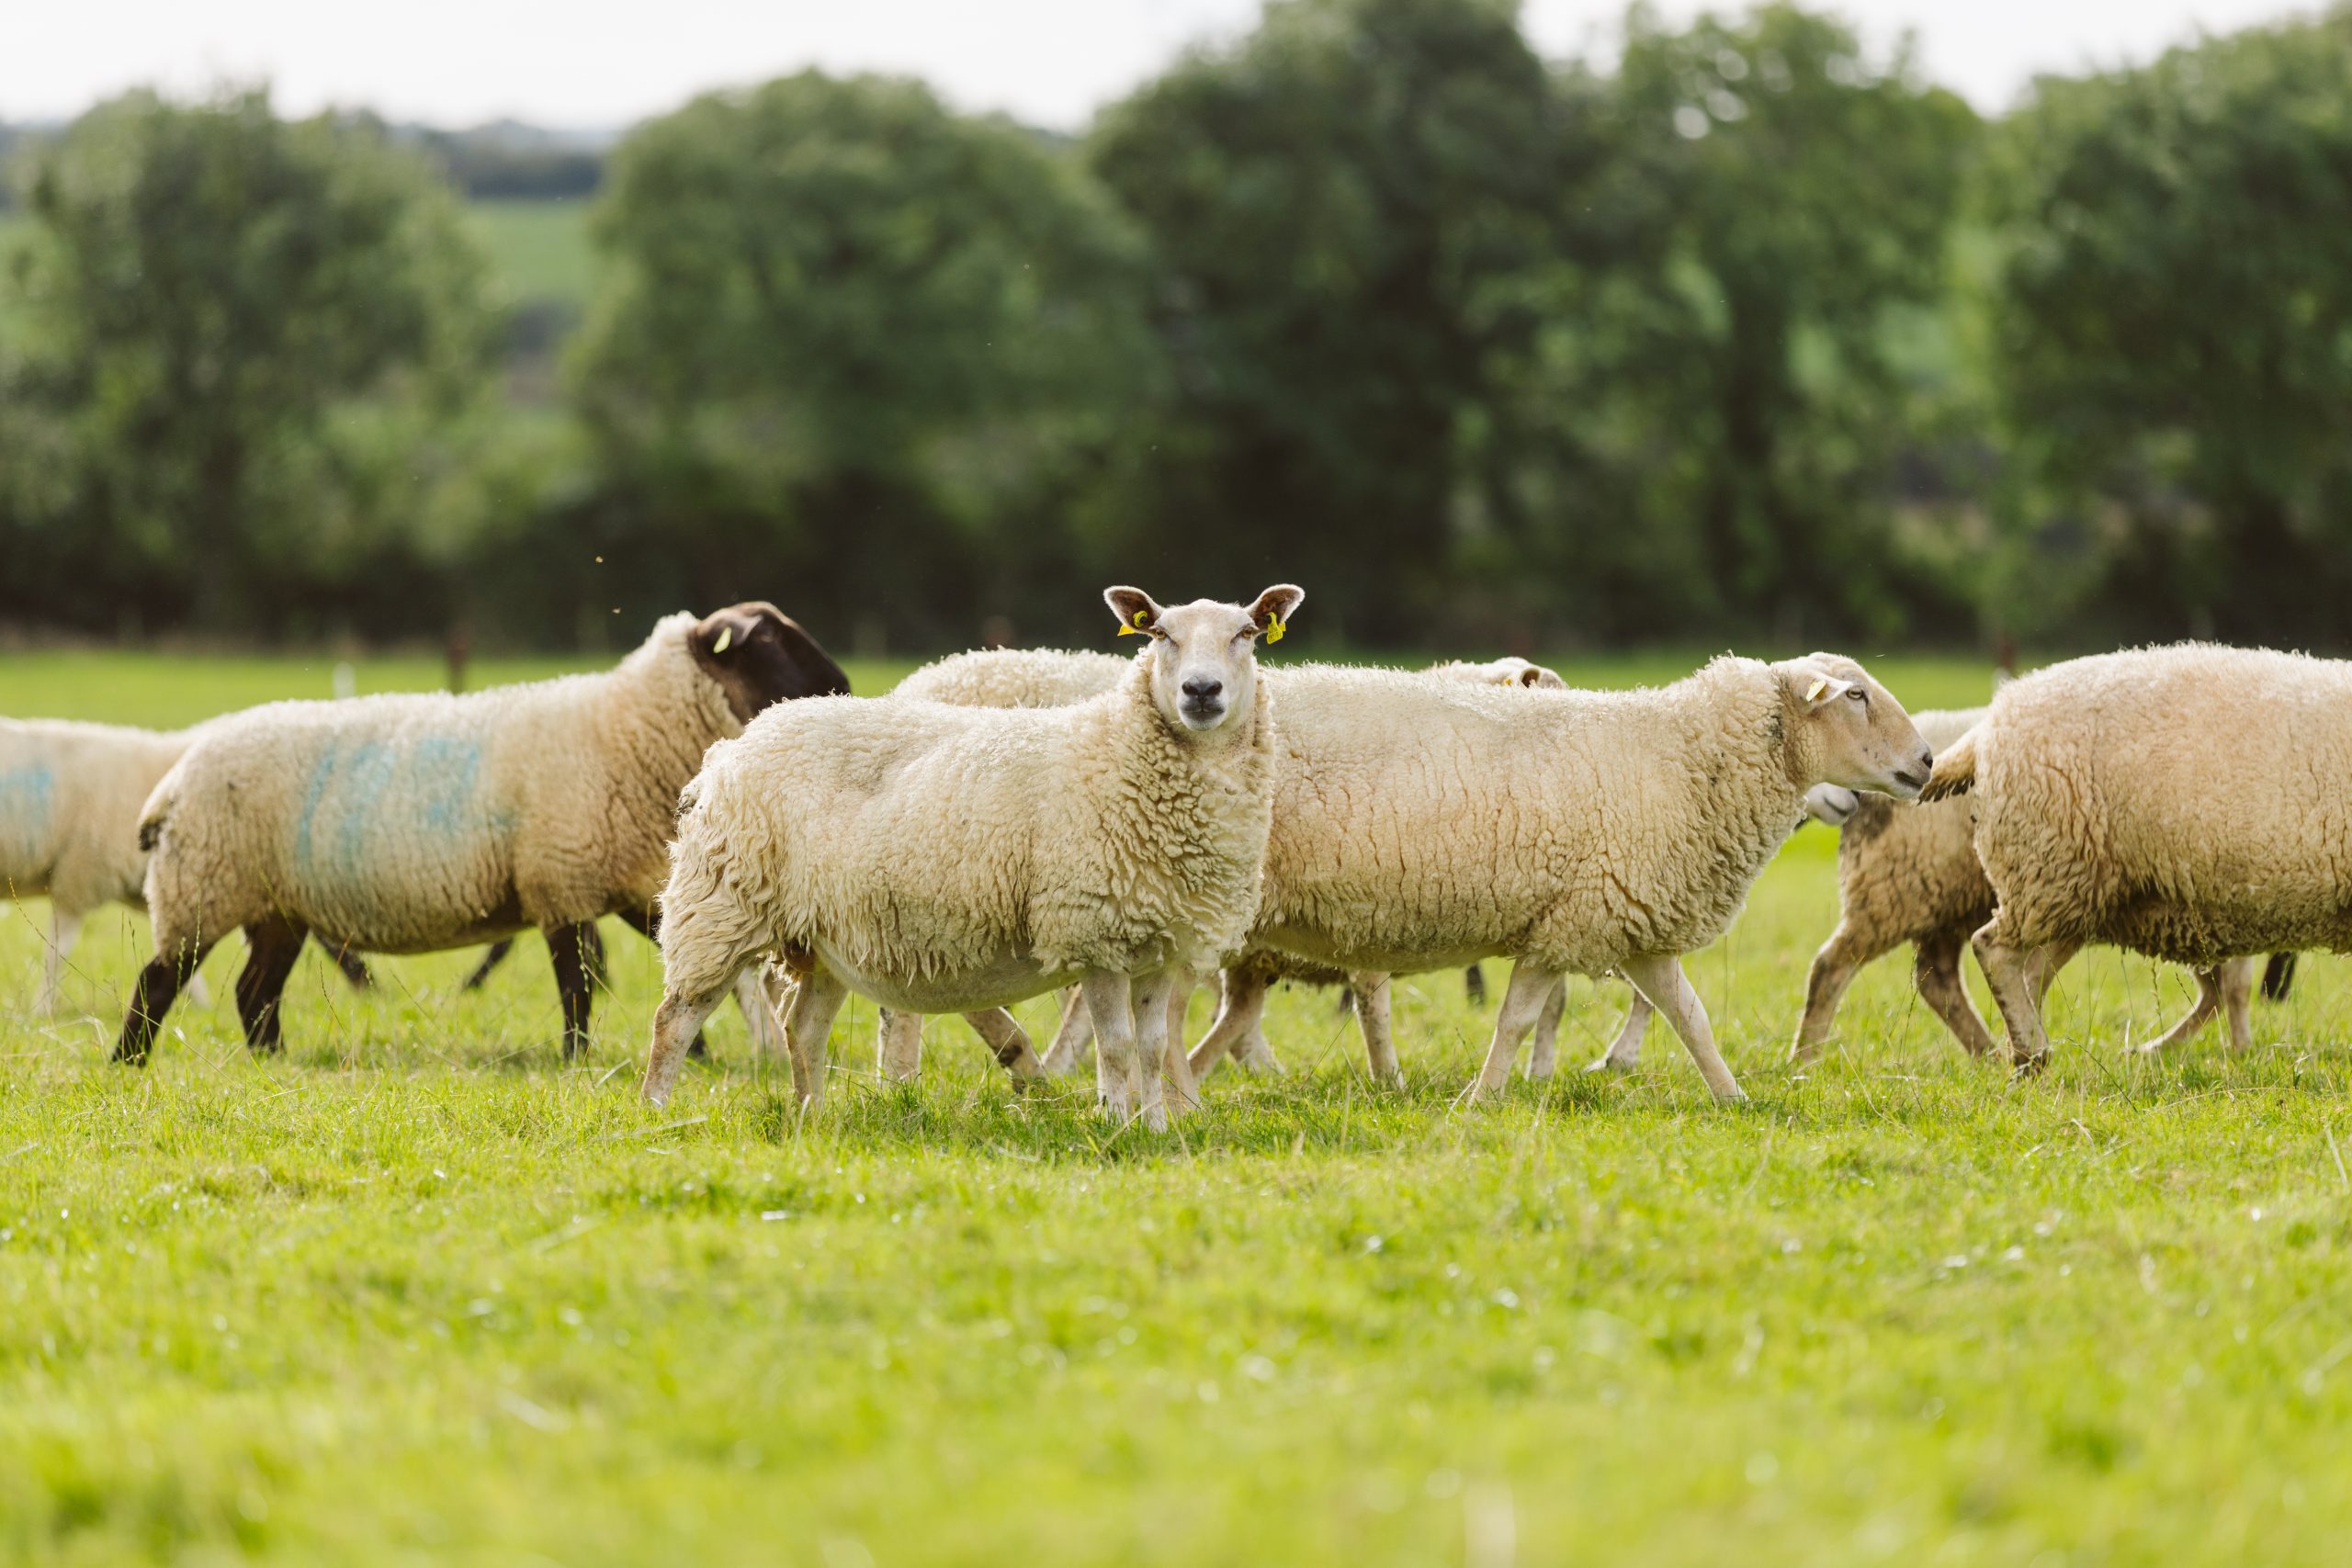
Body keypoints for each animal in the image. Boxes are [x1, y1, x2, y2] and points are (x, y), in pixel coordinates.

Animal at [117, 606, 855, 1066]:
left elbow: (672, 968)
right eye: (769, 642)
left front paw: (690, 1055)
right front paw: (576, 1059)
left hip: (276, 907)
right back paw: (128, 1062)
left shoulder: (624, 882)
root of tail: (172, 782)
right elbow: (577, 984)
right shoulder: (560, 879)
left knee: (254, 991)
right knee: (159, 979)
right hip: (204, 885)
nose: (842, 686)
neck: (625, 731)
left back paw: (273, 1060)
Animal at [644, 582, 1307, 1123]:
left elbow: (1149, 1046)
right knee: (675, 1018)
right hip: (721, 905)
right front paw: (1118, 1126)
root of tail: (737, 743)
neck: (1121, 752)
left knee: (802, 1028)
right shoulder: (1092, 931)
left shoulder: (1160, 940)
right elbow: (1116, 1046)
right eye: (1161, 633)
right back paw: (656, 1111)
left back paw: (815, 1119)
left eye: (1246, 634)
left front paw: (1156, 1129)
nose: (1201, 691)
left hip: (823, 932)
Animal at [1176, 649, 1928, 1104]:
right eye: (1856, 695)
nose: (1924, 760)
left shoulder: (1622, 918)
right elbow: (1517, 1019)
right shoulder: (1569, 921)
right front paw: (1481, 1099)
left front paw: (1733, 1098)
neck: (1682, 758)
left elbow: (1689, 1017)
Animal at [1918, 644, 2342, 1072]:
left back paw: (2030, 1056)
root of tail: (1988, 727)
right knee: (1993, 949)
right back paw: (2034, 1050)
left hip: (2080, 893)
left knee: (2031, 974)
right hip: (2048, 868)